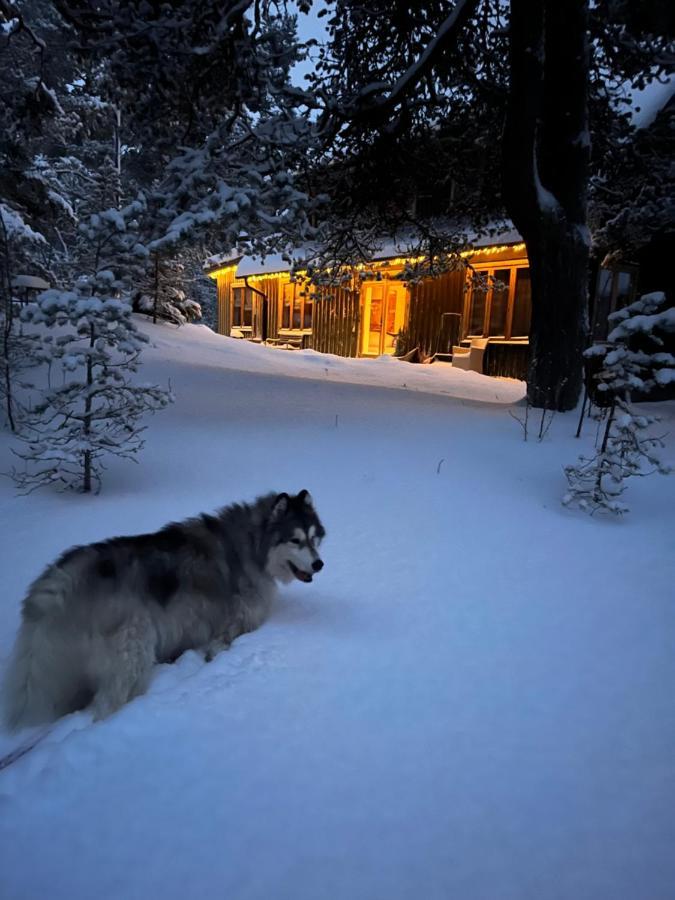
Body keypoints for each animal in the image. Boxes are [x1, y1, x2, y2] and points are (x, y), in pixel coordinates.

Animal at [1, 492, 324, 732]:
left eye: (314, 538)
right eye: (295, 540)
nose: (319, 564)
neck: (252, 544)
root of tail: (66, 575)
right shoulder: (232, 627)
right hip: (133, 655)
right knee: (109, 703)